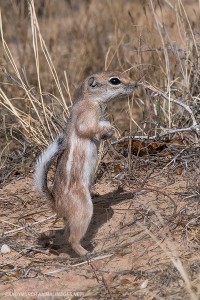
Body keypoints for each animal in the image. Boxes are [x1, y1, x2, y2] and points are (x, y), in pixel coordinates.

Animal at [35, 70, 137, 255]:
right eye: (114, 81)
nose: (135, 84)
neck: (89, 99)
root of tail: (57, 204)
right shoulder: (87, 117)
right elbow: (89, 129)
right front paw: (109, 130)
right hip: (84, 209)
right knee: (72, 239)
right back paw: (88, 253)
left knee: (66, 235)